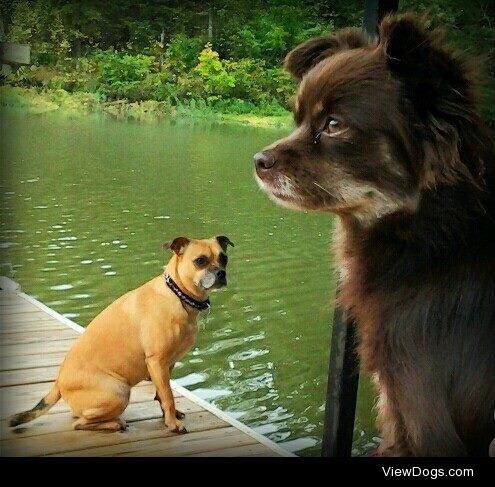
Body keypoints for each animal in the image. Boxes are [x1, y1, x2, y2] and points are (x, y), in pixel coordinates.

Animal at [9, 236, 234, 434]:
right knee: (80, 423)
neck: (177, 295)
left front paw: (168, 418)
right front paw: (172, 424)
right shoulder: (157, 362)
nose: (221, 273)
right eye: (200, 261)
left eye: (224, 258)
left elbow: (162, 395)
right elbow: (168, 397)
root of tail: (58, 383)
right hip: (119, 391)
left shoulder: (167, 364)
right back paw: (116, 424)